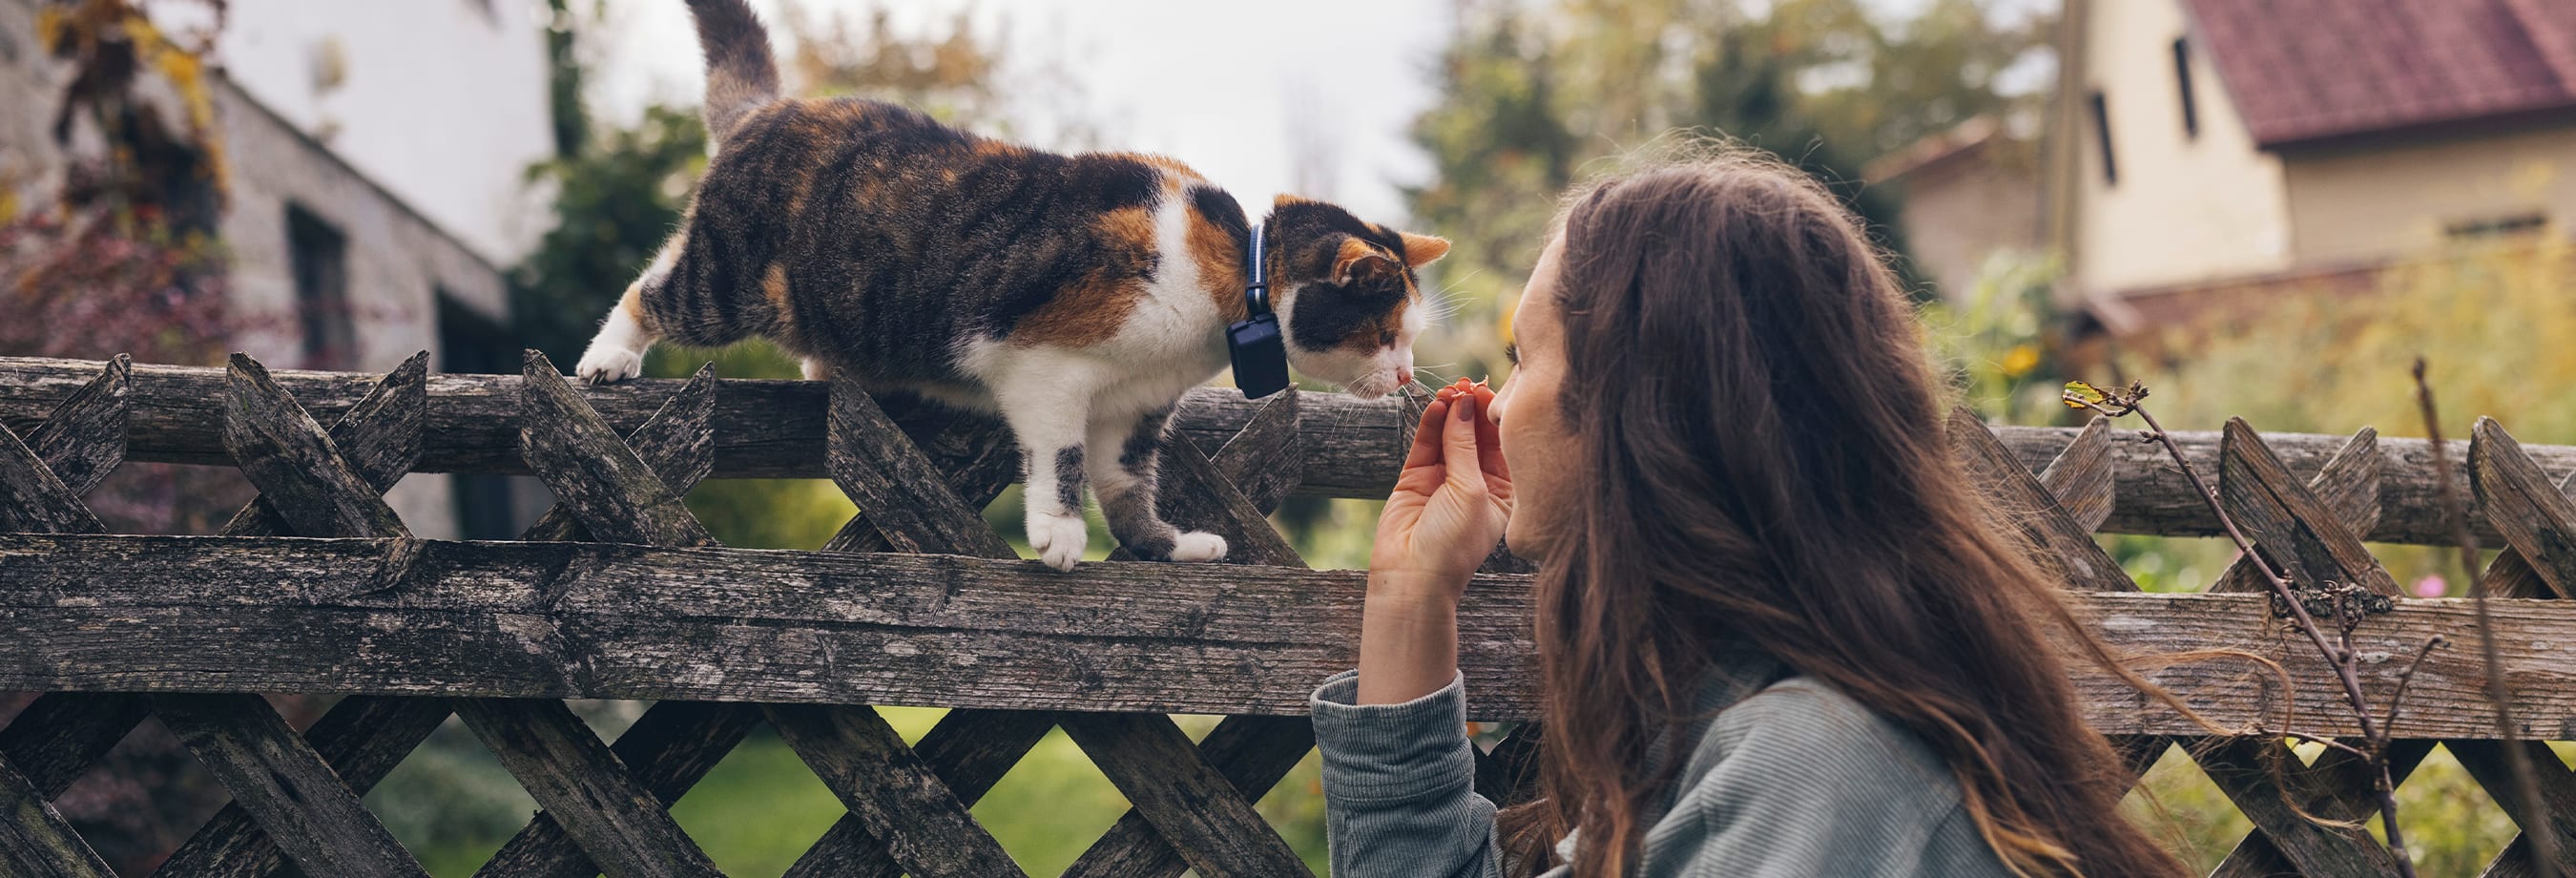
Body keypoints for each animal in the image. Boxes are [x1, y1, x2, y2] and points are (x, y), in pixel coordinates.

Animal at [571, 0, 1443, 566]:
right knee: (652, 291)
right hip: (730, 278)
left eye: (1405, 337)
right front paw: (1058, 534)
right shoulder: (1044, 364)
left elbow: (1124, 481)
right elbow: (1059, 453)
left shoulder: (1133, 408)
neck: (1231, 271)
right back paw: (607, 358)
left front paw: (1165, 545)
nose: (1405, 375)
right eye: (1383, 331)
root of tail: (769, 110)